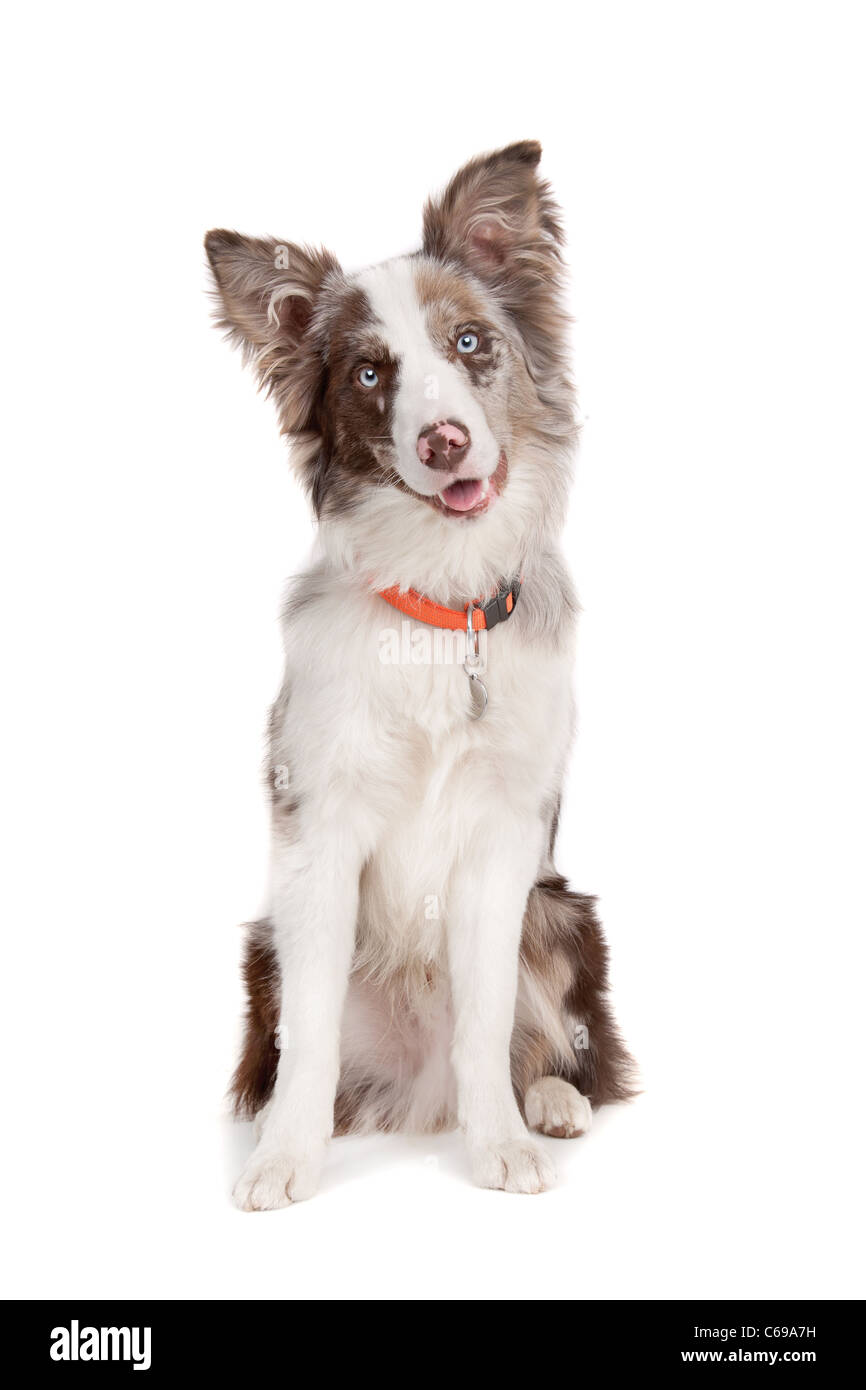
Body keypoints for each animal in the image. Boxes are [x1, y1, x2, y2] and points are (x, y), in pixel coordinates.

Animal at [207, 143, 633, 1206]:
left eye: (471, 343)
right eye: (370, 373)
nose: (444, 440)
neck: (441, 604)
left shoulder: (503, 836)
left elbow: (487, 1017)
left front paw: (501, 1145)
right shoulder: (318, 827)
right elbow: (312, 1032)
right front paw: (285, 1158)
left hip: (561, 911)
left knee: (555, 1043)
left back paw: (550, 1101)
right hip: (264, 943)